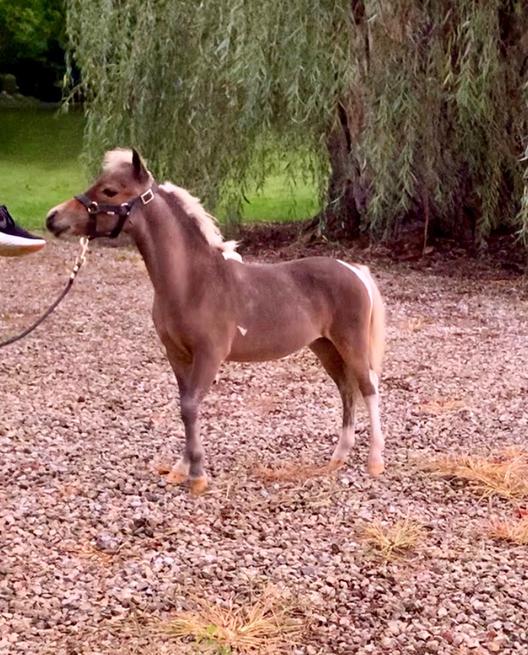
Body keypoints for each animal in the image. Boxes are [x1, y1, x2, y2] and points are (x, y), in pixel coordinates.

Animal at [46, 148, 386, 495]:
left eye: (110, 191)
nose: (52, 217)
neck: (192, 282)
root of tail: (354, 269)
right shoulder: (177, 355)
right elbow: (186, 406)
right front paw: (181, 470)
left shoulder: (209, 355)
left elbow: (190, 407)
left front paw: (197, 476)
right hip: (325, 347)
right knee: (346, 391)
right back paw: (338, 457)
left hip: (351, 344)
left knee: (368, 387)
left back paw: (374, 462)